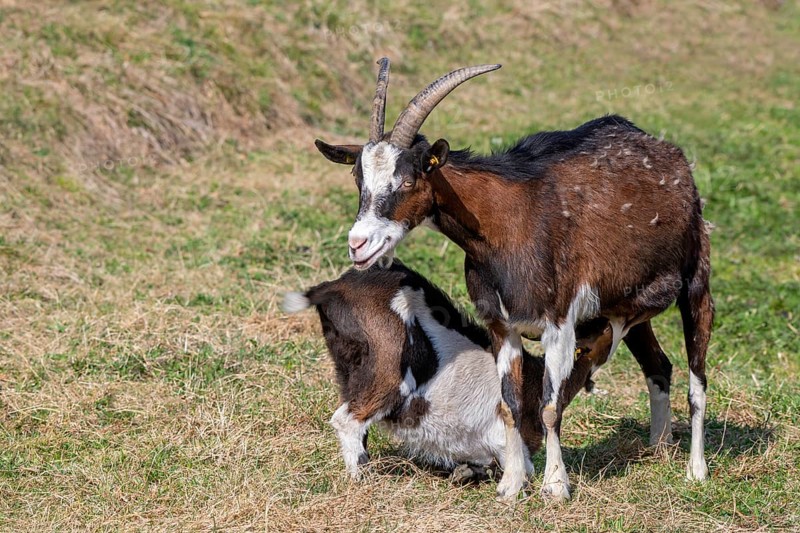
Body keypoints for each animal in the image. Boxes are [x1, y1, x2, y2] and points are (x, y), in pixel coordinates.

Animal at [282, 261, 613, 481]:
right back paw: (363, 479)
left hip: (348, 369)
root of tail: (330, 289)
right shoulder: (507, 437)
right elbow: (522, 466)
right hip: (388, 369)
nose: (606, 324)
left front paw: (465, 473)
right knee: (347, 419)